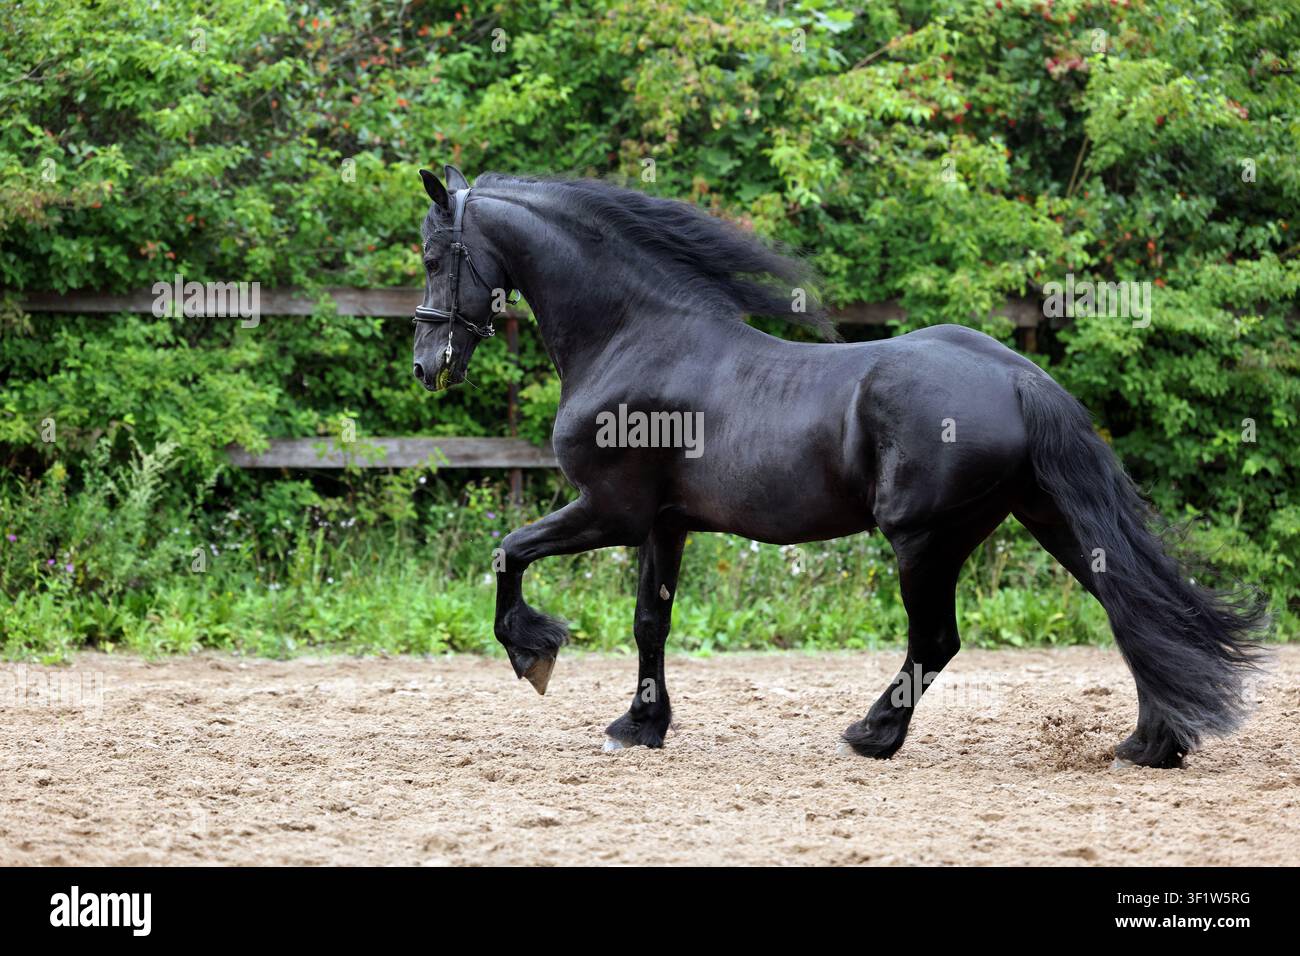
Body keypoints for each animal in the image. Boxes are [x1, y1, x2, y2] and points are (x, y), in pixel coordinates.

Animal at [411, 164, 1266, 769]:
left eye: (431, 254)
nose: (427, 365)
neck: (634, 336)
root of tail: (1022, 379)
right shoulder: (664, 524)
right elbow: (650, 621)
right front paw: (640, 726)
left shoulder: (609, 512)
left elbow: (509, 553)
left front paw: (535, 653)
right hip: (1044, 517)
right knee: (1128, 607)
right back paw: (1152, 743)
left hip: (924, 538)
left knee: (938, 640)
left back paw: (872, 734)